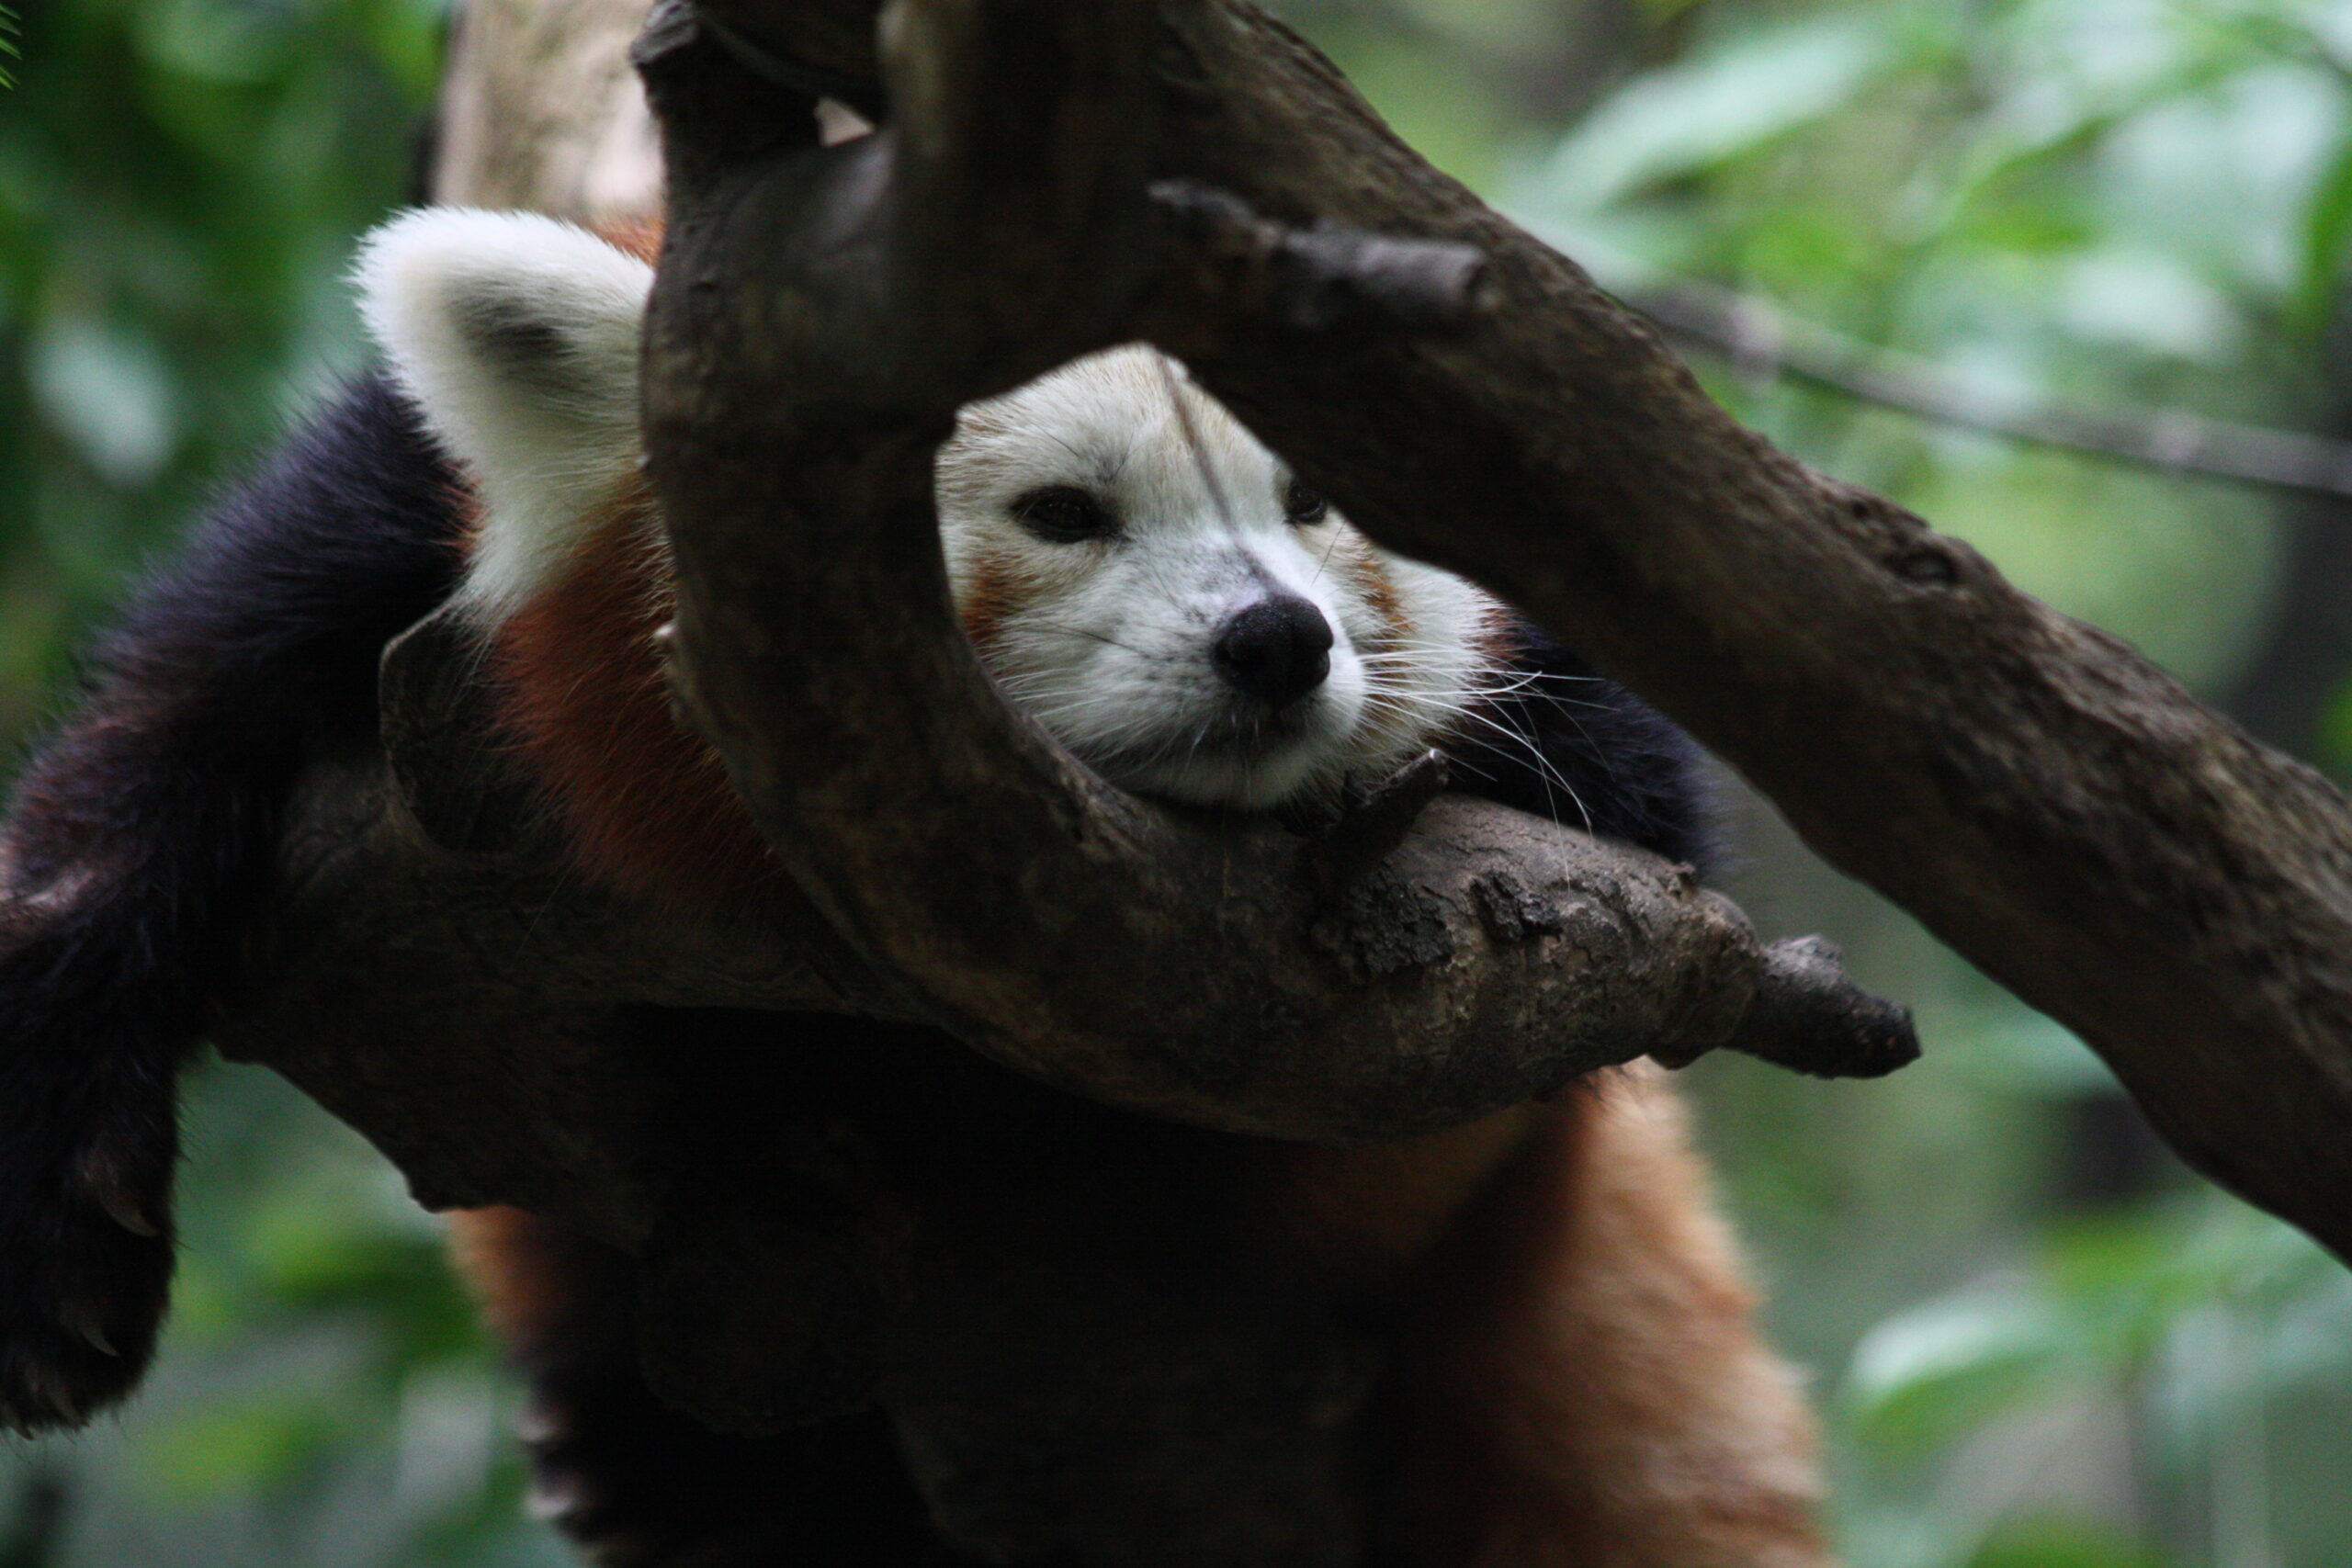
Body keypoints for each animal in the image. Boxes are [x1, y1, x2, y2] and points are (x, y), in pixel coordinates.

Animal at [0, 211, 1834, 1568]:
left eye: (1318, 502)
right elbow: (152, 741)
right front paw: (57, 1222)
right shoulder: (379, 536)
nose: (1279, 640)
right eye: (1064, 511)